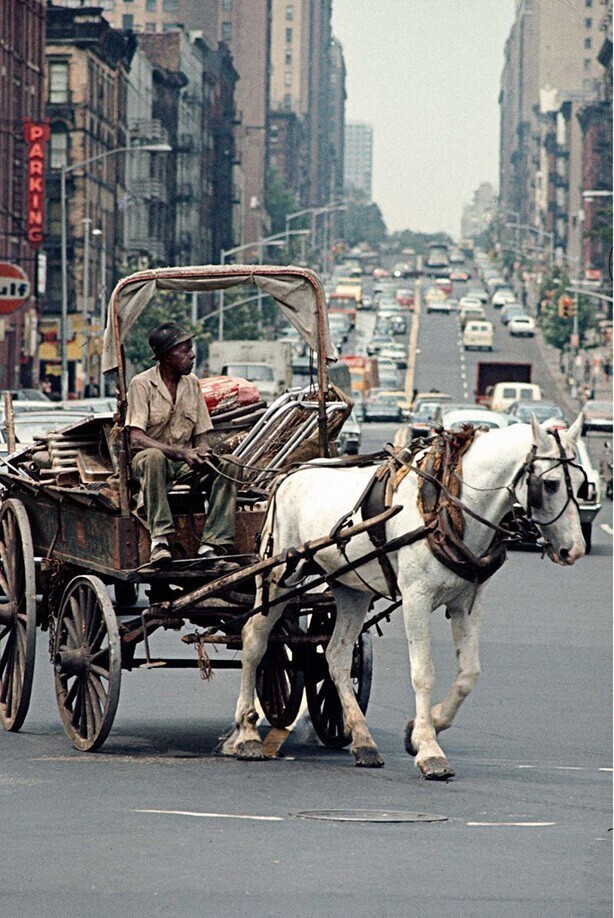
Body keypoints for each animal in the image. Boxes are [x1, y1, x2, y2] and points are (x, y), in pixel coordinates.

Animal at [225, 420, 588, 780]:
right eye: (551, 484)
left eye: (583, 485)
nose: (575, 549)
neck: (446, 508)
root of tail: (287, 476)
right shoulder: (416, 598)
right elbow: (423, 672)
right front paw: (429, 749)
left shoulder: (466, 603)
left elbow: (469, 673)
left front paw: (422, 728)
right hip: (276, 576)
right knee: (255, 639)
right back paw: (245, 734)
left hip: (351, 587)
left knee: (337, 657)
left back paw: (363, 741)